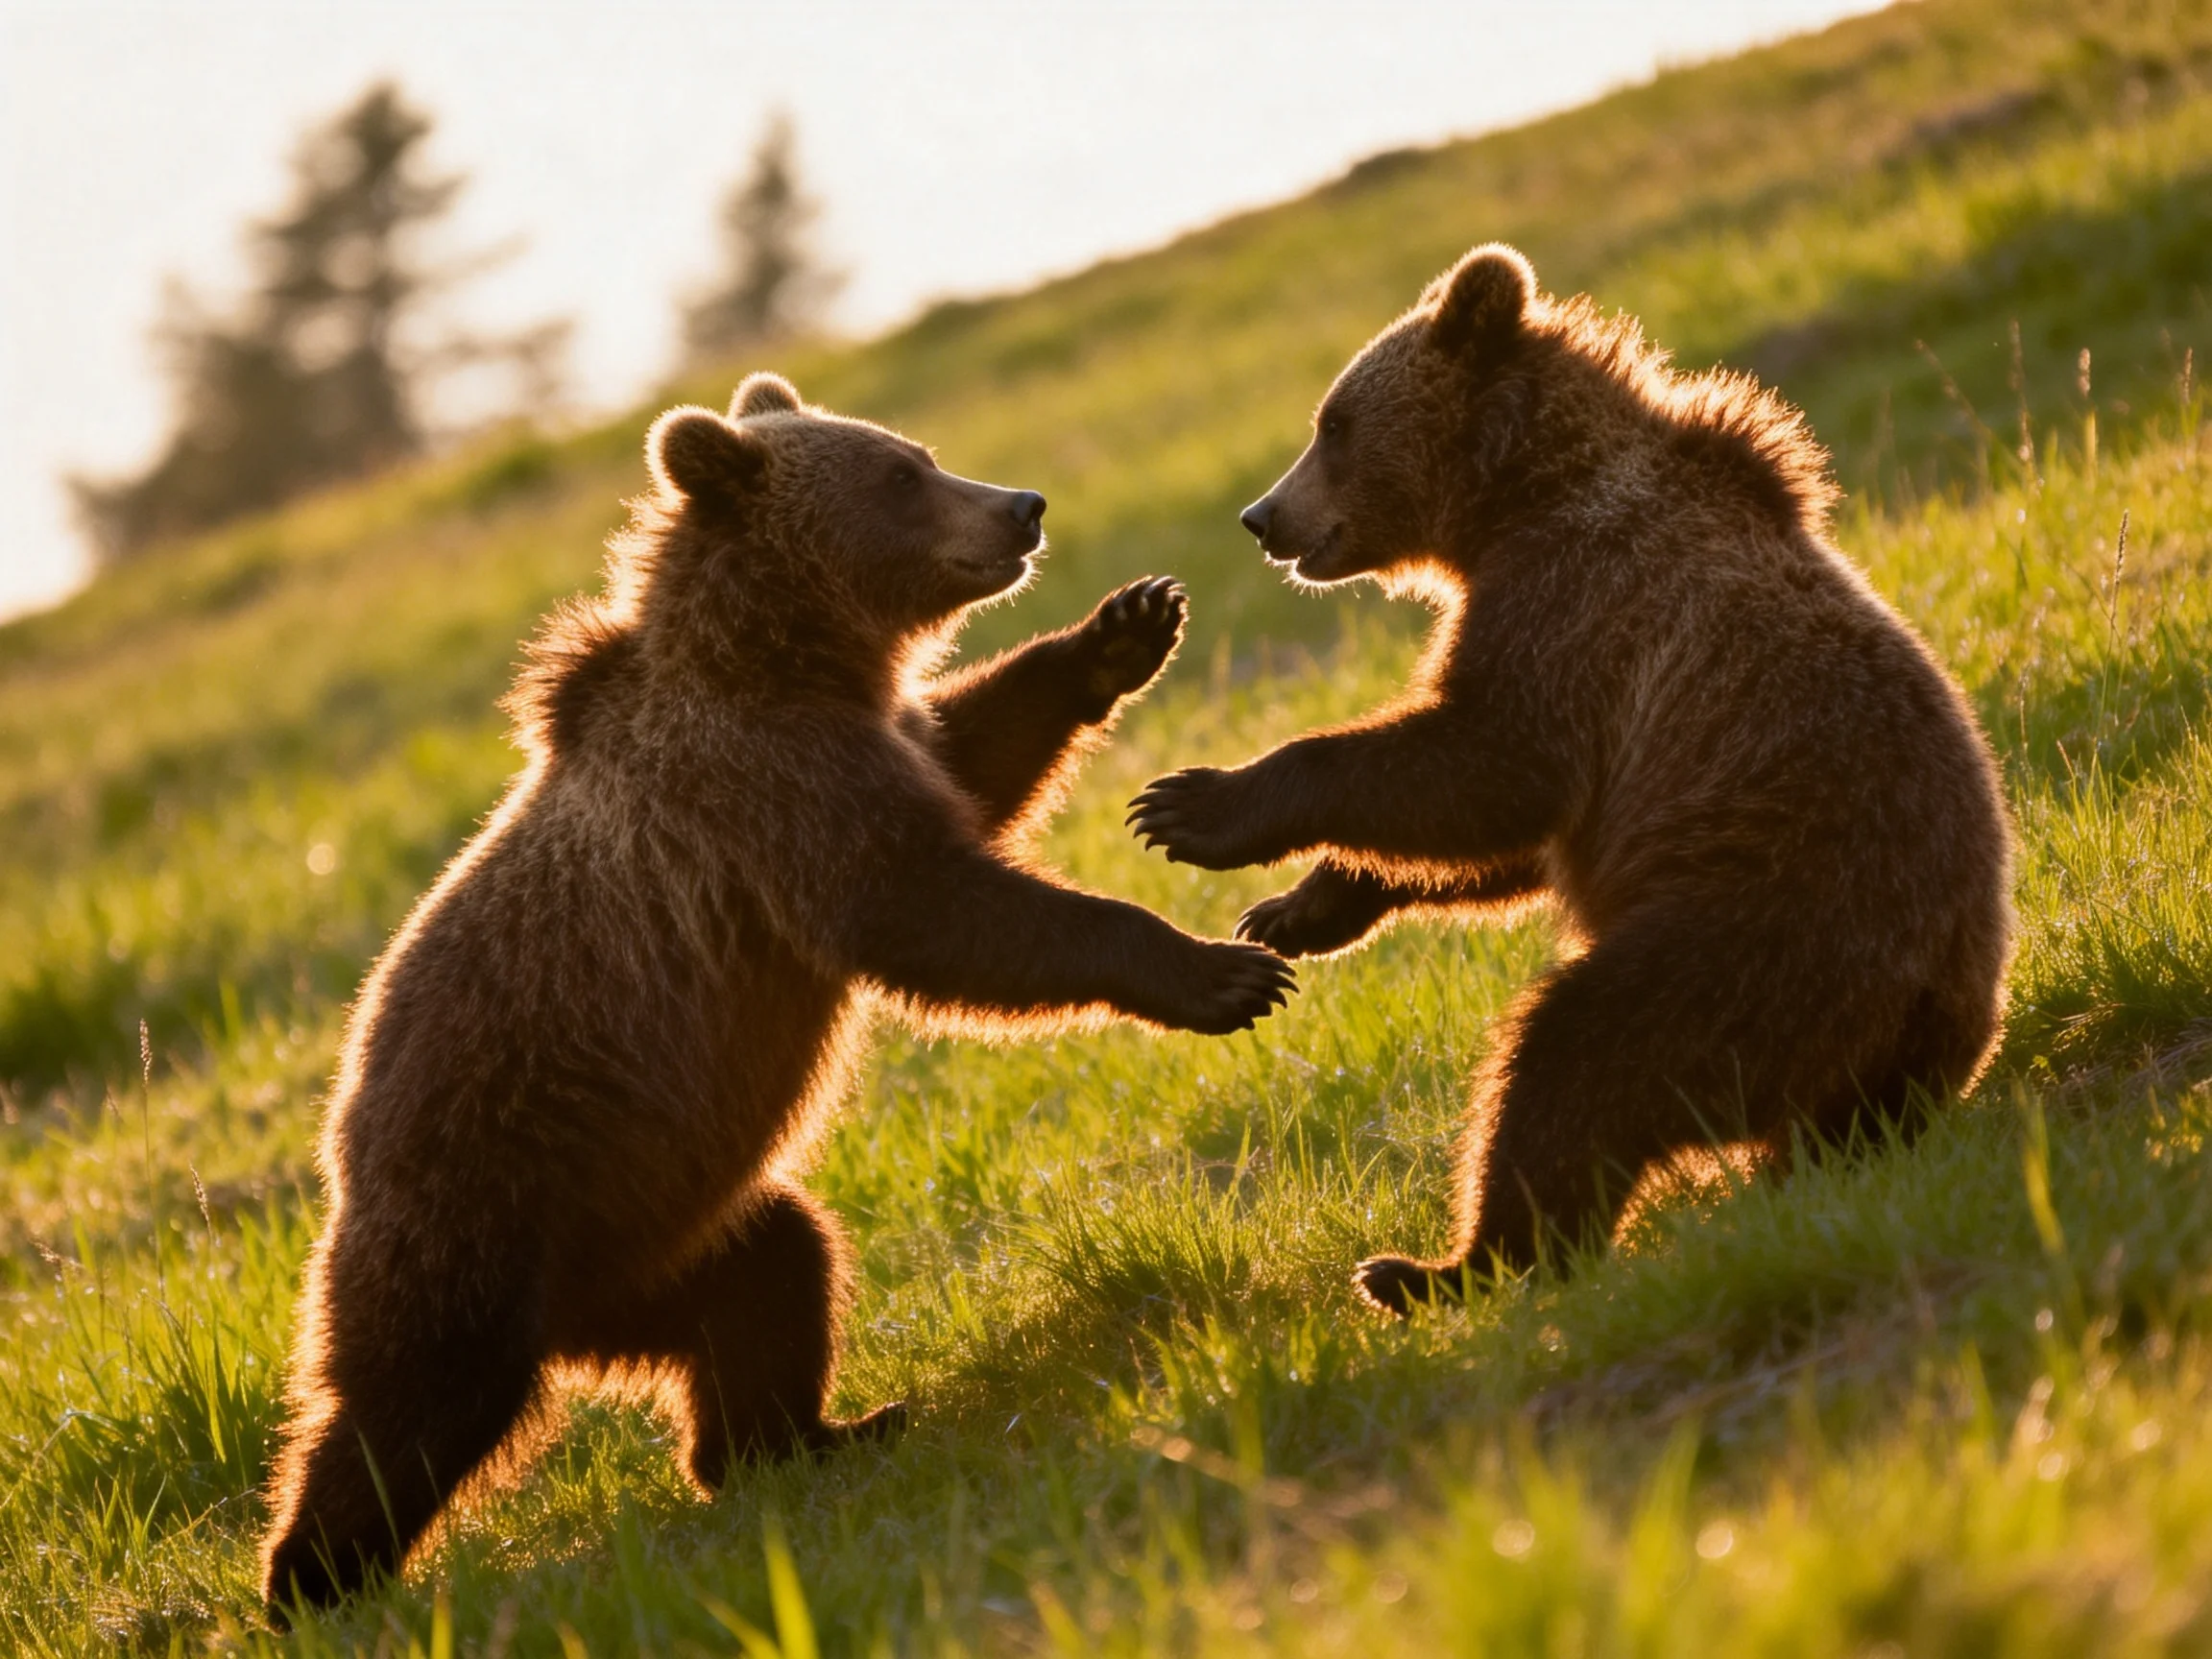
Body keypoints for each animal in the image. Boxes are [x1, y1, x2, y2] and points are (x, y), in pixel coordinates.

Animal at [260, 372, 1297, 1612]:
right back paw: (312, 1580)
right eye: (901, 475)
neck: (784, 659)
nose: (1022, 507)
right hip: (477, 1211)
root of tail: (568, 1327)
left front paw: (1127, 627)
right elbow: (937, 912)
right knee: (405, 1410)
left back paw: (813, 1436)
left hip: (666, 1228)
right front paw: (1222, 973)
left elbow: (973, 757)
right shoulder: (771, 795)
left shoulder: (872, 741)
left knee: (775, 1278)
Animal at [1127, 244, 2012, 1313]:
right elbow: (1504, 832)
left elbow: (1492, 767)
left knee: (1573, 1061)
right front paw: (1298, 911)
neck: (1513, 499)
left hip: (1764, 945)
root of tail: (1927, 1038)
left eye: (1333, 425)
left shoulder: (1576, 607)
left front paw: (1192, 808)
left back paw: (1441, 1266)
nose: (1263, 518)